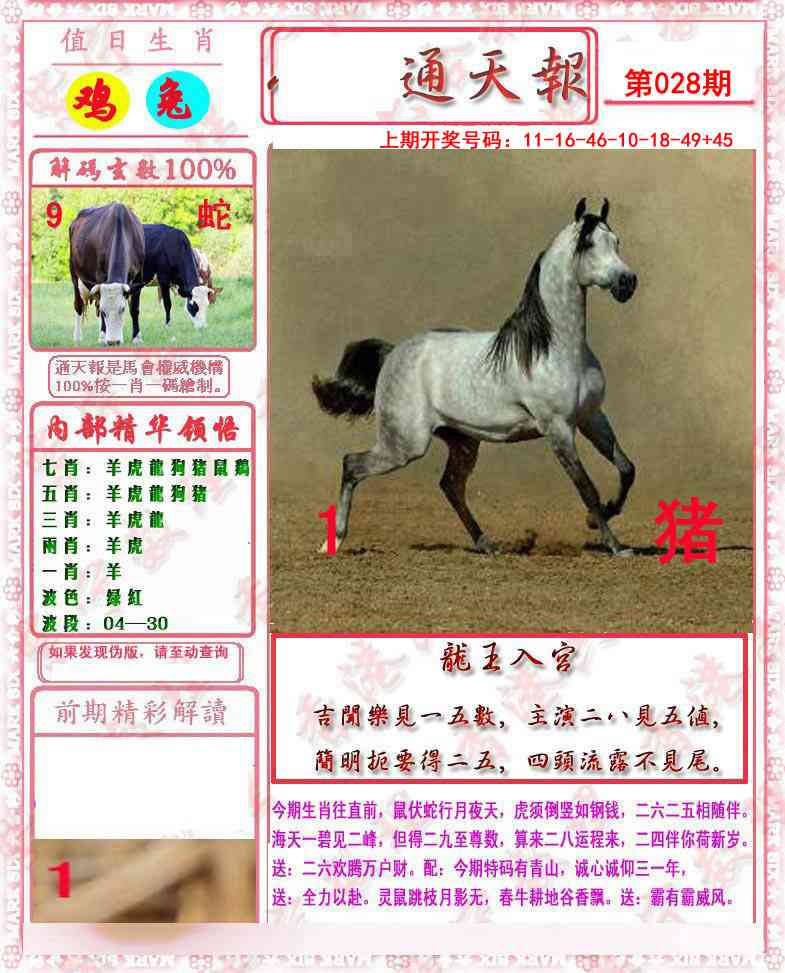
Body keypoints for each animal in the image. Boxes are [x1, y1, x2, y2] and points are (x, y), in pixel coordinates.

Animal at [312, 197, 639, 557]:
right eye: (589, 244)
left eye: (617, 242)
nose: (627, 282)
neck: (556, 349)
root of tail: (394, 353)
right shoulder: (559, 428)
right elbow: (586, 487)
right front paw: (616, 546)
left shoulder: (591, 417)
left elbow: (626, 468)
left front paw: (602, 517)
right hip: (406, 444)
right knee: (352, 464)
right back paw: (333, 542)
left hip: (462, 440)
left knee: (451, 486)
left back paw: (487, 544)